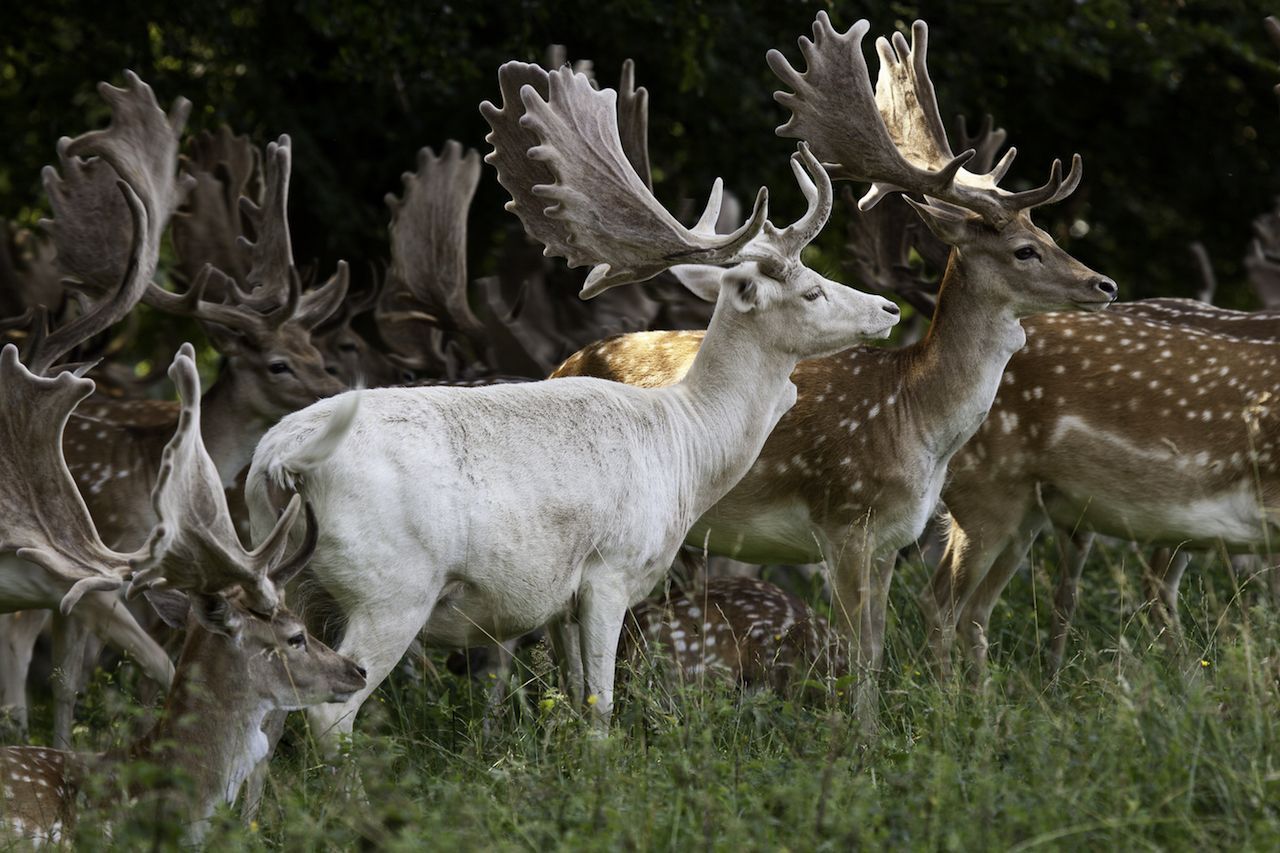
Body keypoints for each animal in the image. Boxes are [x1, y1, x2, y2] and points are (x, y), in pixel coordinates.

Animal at [241, 58, 901, 742]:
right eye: (812, 290)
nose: (889, 309)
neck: (686, 448)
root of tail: (278, 463)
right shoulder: (610, 571)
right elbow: (602, 707)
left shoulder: (557, 603)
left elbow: (572, 698)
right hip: (390, 588)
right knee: (329, 714)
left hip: (287, 582)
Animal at [555, 13, 1116, 717]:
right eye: (1024, 250)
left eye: (1048, 235)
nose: (1104, 284)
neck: (914, 418)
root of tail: (560, 363)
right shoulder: (844, 521)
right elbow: (859, 652)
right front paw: (861, 736)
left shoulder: (892, 539)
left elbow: (875, 646)